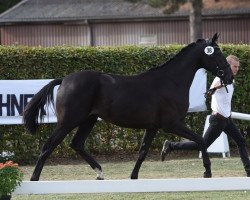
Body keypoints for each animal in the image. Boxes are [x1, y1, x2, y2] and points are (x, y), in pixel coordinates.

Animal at [22, 34, 233, 181]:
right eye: (218, 53)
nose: (230, 77)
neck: (171, 81)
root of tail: (65, 80)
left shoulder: (153, 127)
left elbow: (142, 152)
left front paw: (133, 176)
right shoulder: (172, 124)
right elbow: (201, 140)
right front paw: (207, 171)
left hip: (88, 120)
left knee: (77, 144)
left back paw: (100, 172)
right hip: (68, 121)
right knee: (48, 146)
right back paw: (34, 178)